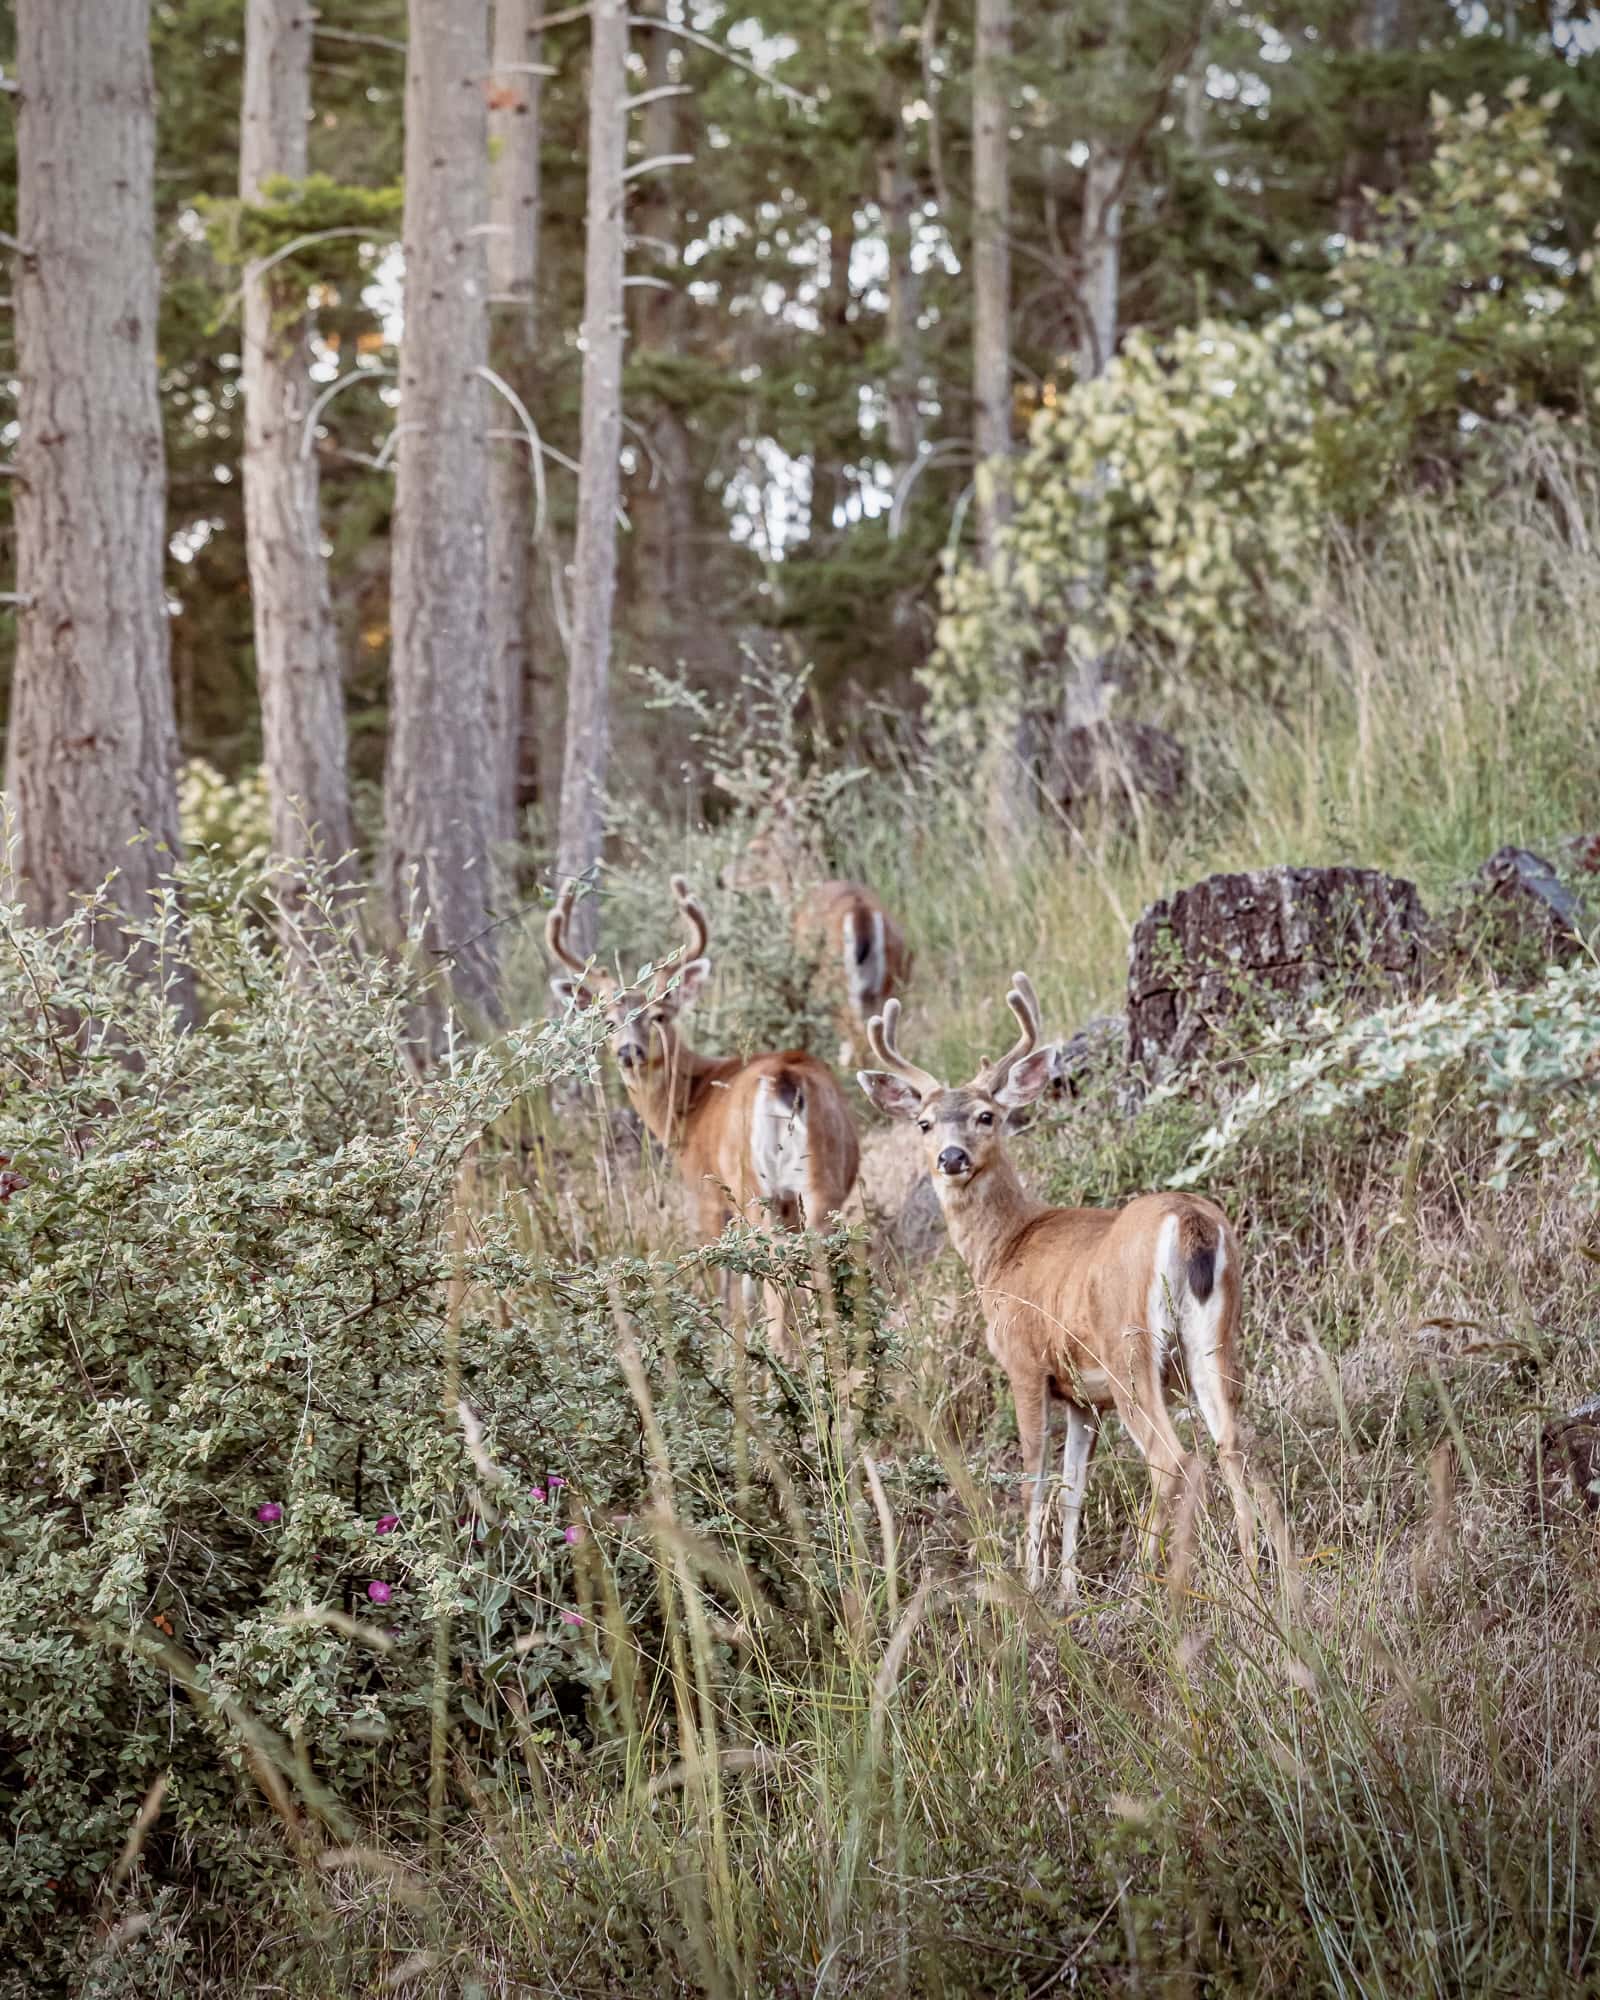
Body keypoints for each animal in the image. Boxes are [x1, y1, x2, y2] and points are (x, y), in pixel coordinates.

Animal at [548, 872, 864, 1352]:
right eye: (608, 1020)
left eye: (659, 1015)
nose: (628, 1052)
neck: (688, 1106)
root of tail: (784, 1079)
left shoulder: (707, 1197)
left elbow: (730, 1291)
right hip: (818, 1184)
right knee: (819, 1277)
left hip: (755, 1188)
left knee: (778, 1282)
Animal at [856, 972, 1256, 1608]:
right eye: (924, 1122)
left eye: (987, 1115)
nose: (951, 1157)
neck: (1003, 1251)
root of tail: (1190, 1220)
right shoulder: (1082, 1398)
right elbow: (1073, 1489)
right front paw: (1067, 1592)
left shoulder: (1025, 1363)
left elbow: (1034, 1480)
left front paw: (1032, 1585)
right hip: (1214, 1336)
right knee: (1231, 1441)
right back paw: (1254, 1574)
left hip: (1130, 1349)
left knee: (1172, 1460)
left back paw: (1144, 1585)